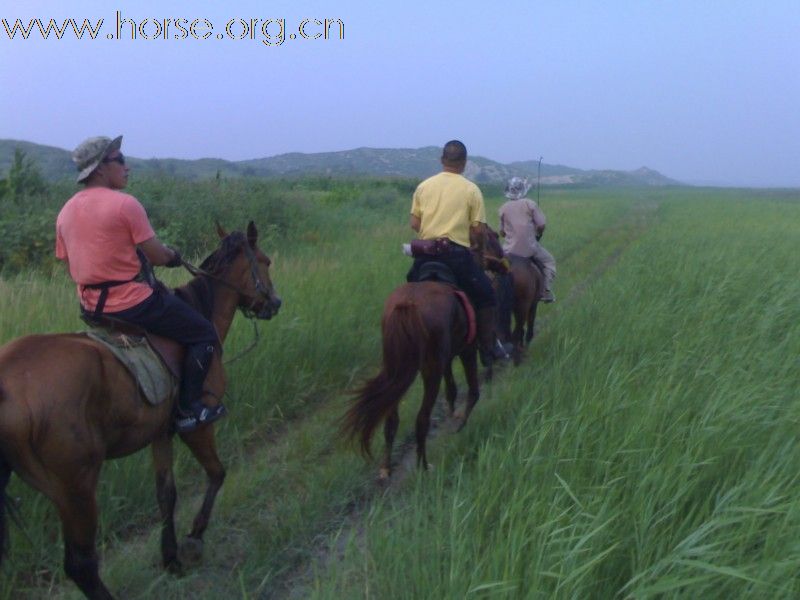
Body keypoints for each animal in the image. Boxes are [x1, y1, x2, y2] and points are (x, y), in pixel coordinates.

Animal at [0, 221, 282, 600]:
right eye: (265, 261)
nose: (275, 303)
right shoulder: (198, 426)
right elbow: (217, 473)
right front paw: (194, 540)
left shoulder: (160, 434)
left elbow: (166, 495)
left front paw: (171, 558)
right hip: (76, 487)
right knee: (81, 564)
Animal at [342, 278, 478, 480]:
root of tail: (408, 304)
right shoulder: (467, 350)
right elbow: (473, 391)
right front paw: (458, 425)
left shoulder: (448, 359)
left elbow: (452, 389)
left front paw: (453, 415)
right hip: (431, 371)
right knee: (422, 418)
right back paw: (423, 466)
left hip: (396, 371)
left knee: (391, 419)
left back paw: (386, 467)